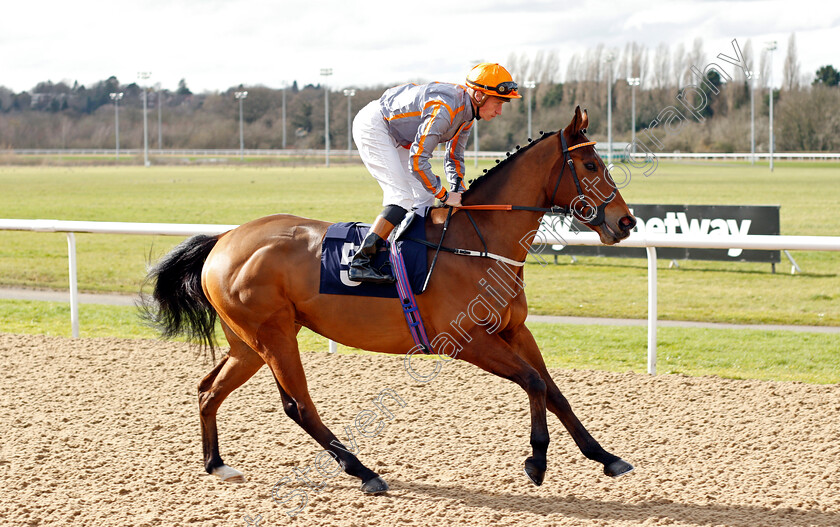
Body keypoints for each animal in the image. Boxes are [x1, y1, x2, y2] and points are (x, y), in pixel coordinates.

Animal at [143, 106, 636, 496]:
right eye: (590, 164)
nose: (626, 222)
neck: (476, 243)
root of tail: (224, 238)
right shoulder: (467, 341)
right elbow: (533, 383)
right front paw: (537, 461)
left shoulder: (515, 331)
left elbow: (555, 391)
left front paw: (606, 456)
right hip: (272, 335)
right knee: (298, 405)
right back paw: (364, 472)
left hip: (247, 342)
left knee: (209, 389)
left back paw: (216, 464)